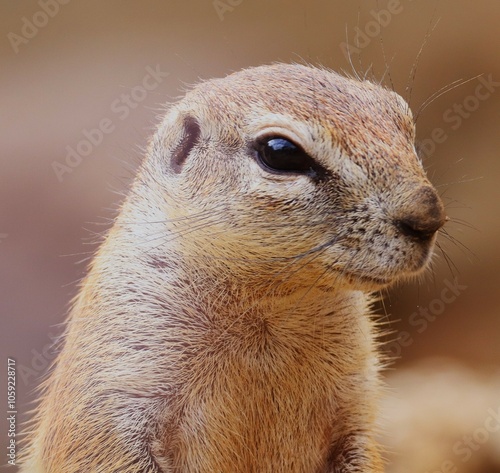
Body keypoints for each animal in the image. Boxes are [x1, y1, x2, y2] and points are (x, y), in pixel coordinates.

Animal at [21, 63, 448, 472]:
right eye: (280, 152)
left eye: (405, 124)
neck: (267, 309)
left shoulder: (356, 404)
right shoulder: (114, 379)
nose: (429, 217)